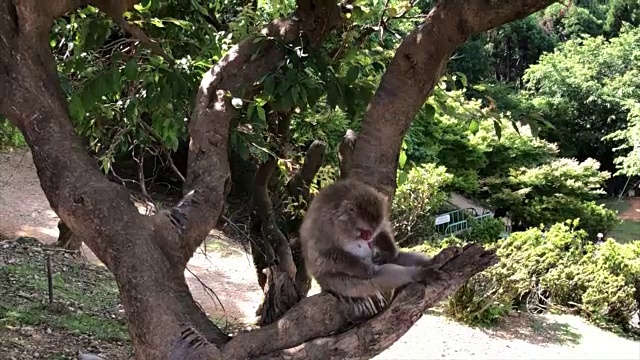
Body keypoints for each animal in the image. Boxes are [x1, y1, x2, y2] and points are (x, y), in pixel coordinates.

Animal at [300, 176, 444, 312]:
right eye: (365, 232)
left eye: (371, 232)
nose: (369, 239)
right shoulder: (323, 226)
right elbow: (322, 255)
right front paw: (365, 268)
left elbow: (383, 230)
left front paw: (389, 252)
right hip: (333, 282)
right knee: (375, 277)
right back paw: (418, 273)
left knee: (398, 259)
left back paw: (429, 262)